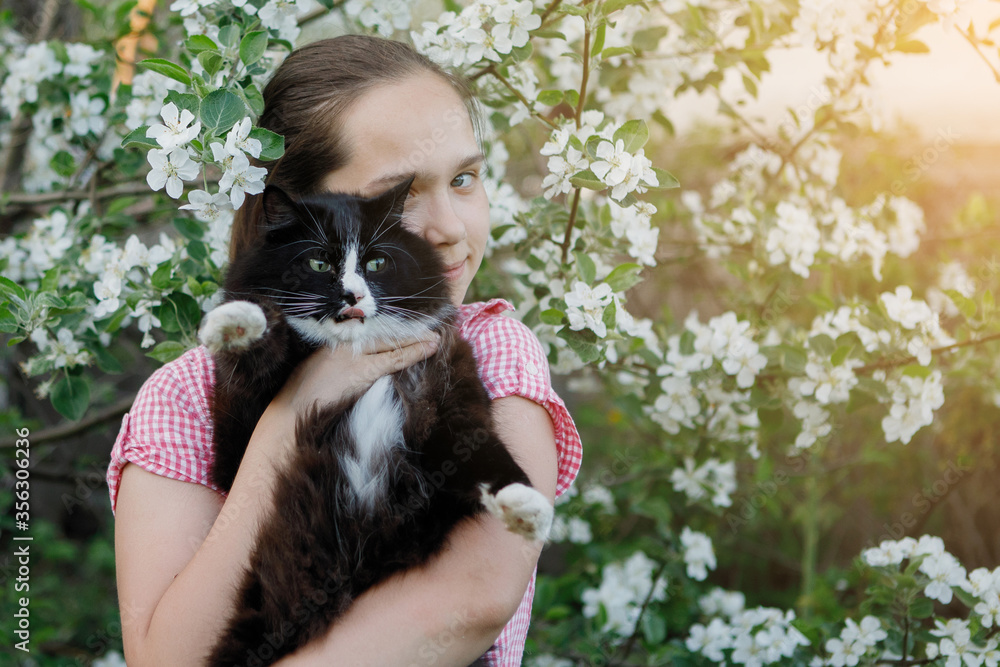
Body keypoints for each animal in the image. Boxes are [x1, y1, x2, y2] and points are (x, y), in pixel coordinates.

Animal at [197, 175, 556, 664]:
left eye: (376, 262)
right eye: (318, 261)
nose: (352, 295)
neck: (355, 352)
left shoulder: (452, 403)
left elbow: (488, 454)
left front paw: (527, 507)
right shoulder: (236, 441)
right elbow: (262, 338)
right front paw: (238, 320)